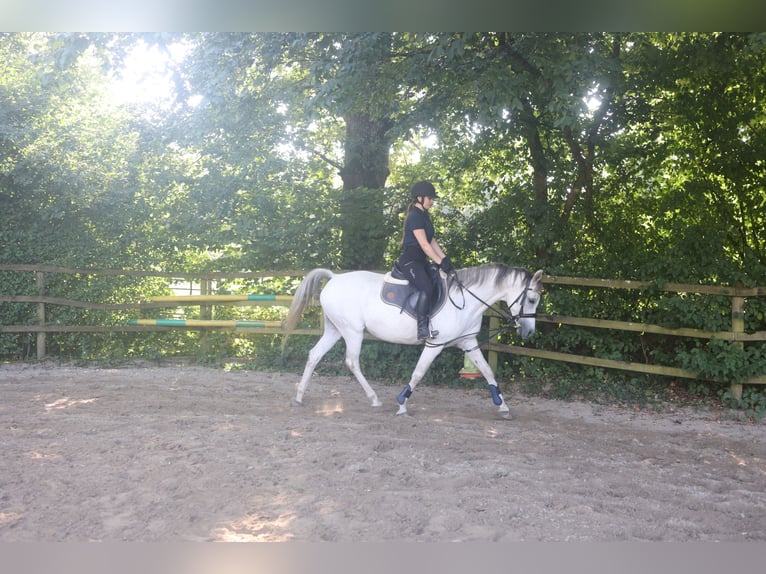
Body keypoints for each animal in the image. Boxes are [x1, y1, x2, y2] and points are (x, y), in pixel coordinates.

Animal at [284, 264, 544, 418]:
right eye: (531, 300)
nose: (529, 332)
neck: (465, 301)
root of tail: (335, 278)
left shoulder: (468, 342)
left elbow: (488, 371)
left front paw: (502, 405)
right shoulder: (434, 345)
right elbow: (418, 373)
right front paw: (401, 404)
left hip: (335, 330)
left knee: (315, 355)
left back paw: (298, 396)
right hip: (352, 331)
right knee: (352, 361)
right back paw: (374, 398)